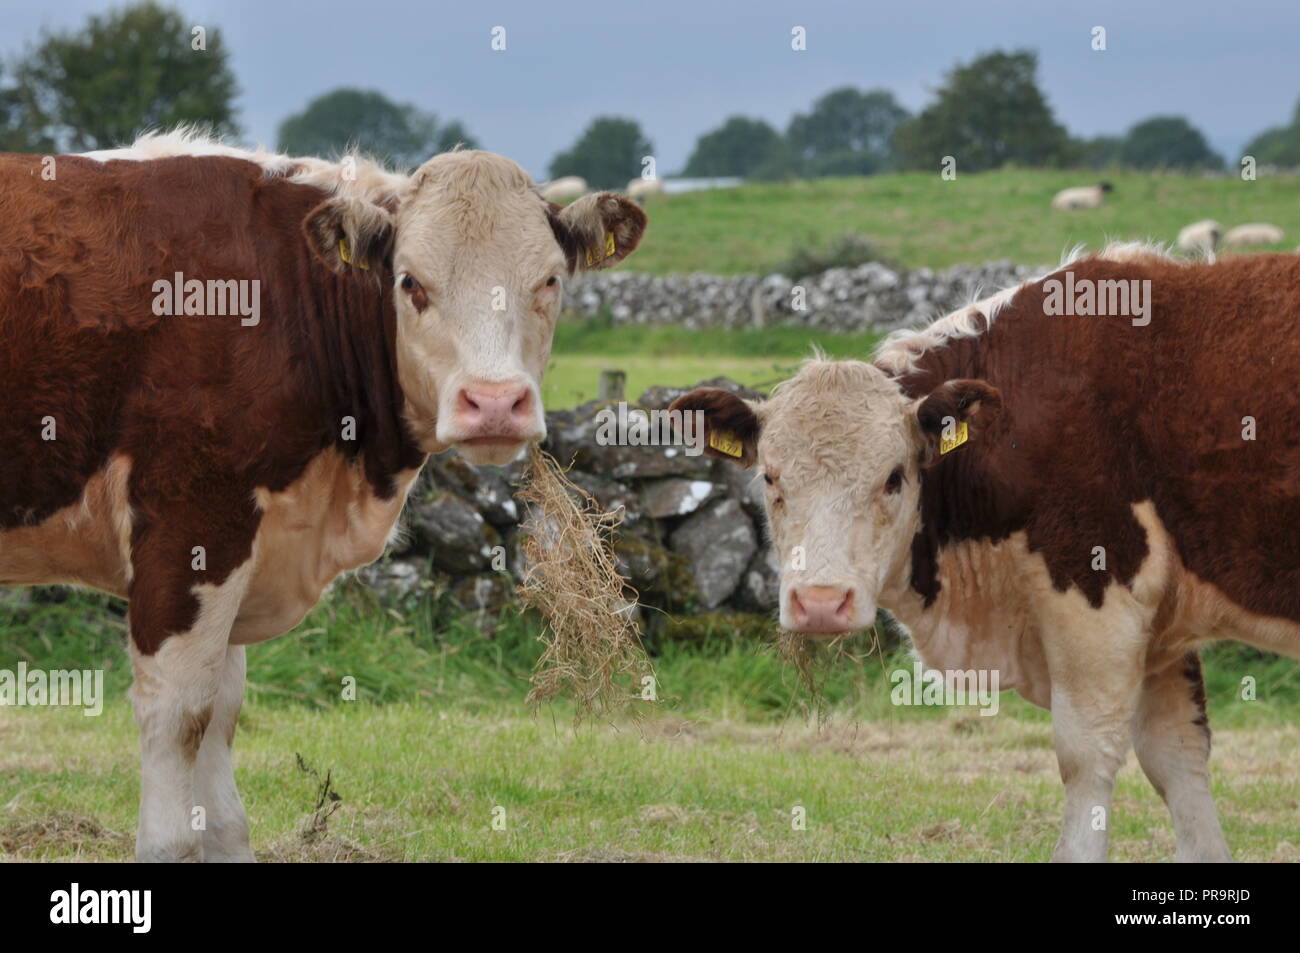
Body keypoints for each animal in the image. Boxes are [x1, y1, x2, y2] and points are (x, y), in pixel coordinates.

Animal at [0, 128, 647, 863]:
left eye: (549, 280)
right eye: (410, 282)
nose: (493, 404)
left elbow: (221, 741)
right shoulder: (189, 527)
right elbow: (179, 727)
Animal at [676, 243, 1300, 863]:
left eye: (894, 477)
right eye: (770, 477)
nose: (822, 603)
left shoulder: (1095, 595)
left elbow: (1087, 755)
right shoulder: (1162, 634)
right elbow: (1177, 760)